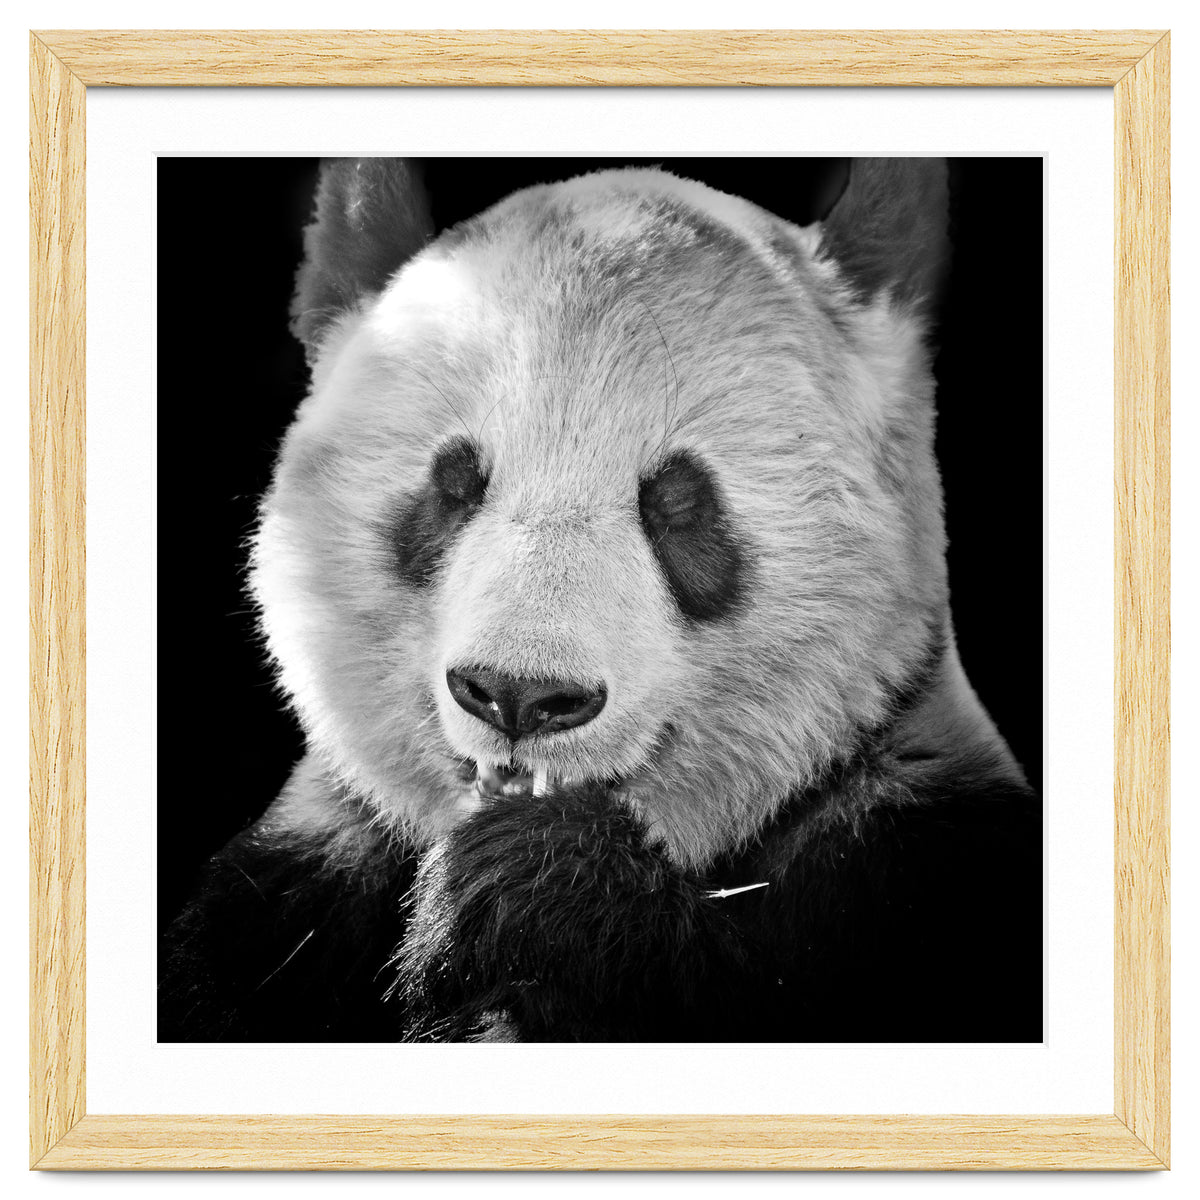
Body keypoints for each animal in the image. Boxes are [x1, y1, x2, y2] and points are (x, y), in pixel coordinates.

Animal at [160, 158, 1041, 1043]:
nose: (519, 695)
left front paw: (536, 888)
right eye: (454, 485)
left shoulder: (914, 861)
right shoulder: (288, 896)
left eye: (678, 503)